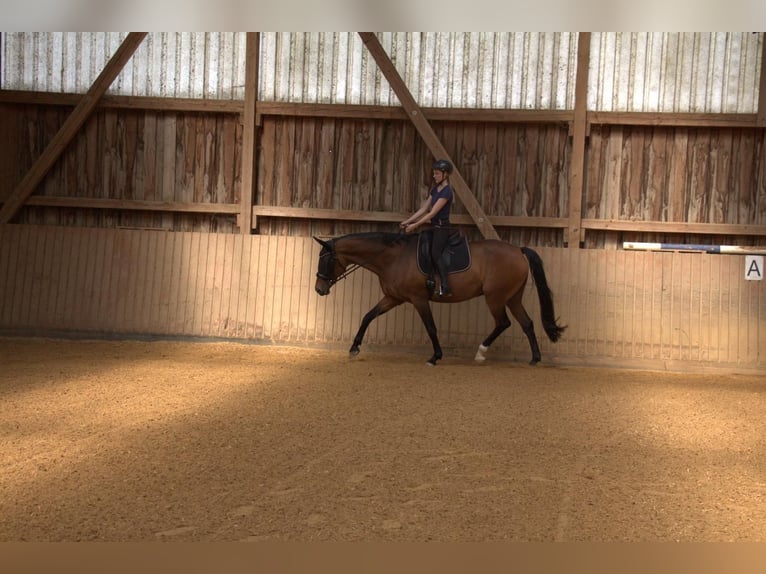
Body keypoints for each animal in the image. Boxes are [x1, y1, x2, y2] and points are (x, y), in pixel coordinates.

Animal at [313, 231, 566, 366]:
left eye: (325, 260)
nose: (319, 289)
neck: (393, 258)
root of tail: (518, 250)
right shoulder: (393, 298)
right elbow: (368, 316)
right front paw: (354, 347)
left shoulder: (418, 299)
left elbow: (431, 327)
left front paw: (435, 357)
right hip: (512, 296)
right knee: (527, 323)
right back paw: (535, 358)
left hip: (495, 297)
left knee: (503, 322)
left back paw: (481, 353)